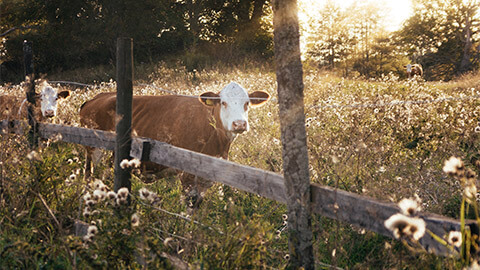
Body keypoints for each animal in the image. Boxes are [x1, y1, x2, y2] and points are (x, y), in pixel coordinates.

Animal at [80, 81, 272, 208]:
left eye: (247, 103)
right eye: (223, 103)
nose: (239, 124)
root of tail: (96, 98)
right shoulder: (186, 174)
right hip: (93, 150)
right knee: (89, 175)